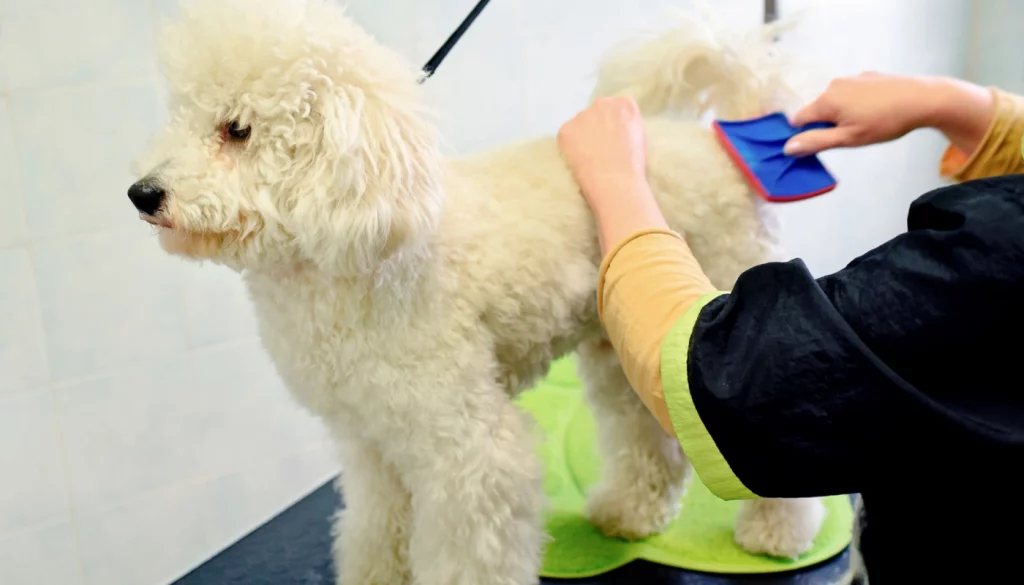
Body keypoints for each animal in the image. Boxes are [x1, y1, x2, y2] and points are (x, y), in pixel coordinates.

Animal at [132, 1, 827, 585]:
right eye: (179, 117)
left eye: (237, 129)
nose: (142, 193)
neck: (358, 256)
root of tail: (719, 139)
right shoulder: (371, 442)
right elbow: (376, 529)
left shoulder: (465, 448)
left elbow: (470, 548)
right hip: (623, 350)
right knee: (644, 437)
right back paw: (630, 514)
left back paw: (775, 534)